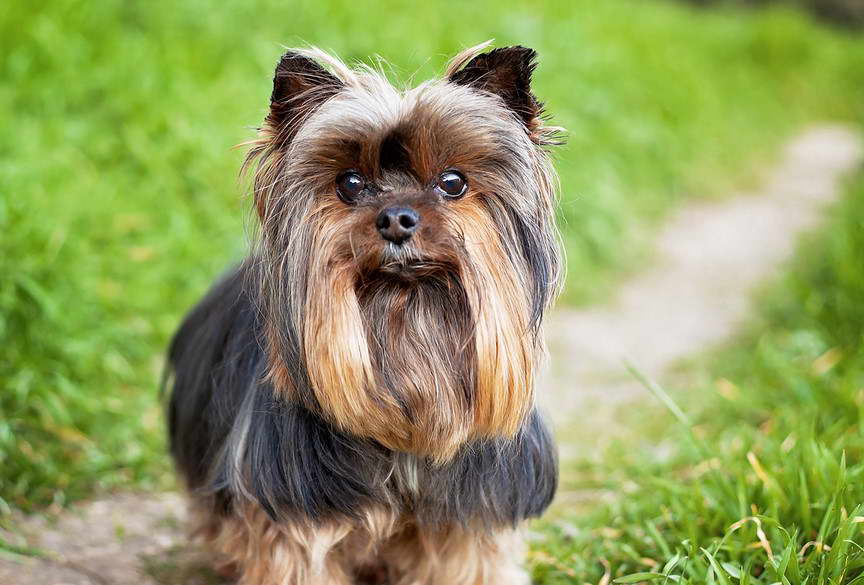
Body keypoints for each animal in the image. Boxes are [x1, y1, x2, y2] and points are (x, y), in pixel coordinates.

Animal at [166, 42, 564, 584]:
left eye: (453, 182)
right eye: (351, 183)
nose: (396, 218)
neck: (407, 326)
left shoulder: (469, 520)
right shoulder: (293, 519)